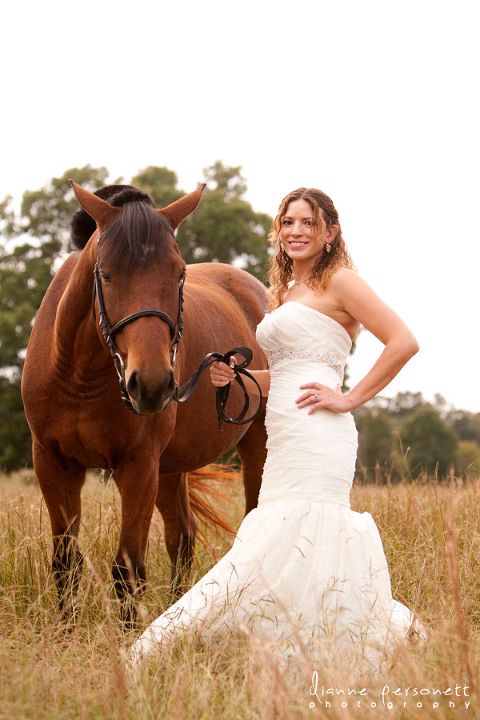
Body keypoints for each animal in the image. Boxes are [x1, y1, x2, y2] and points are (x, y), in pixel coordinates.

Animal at [21, 181, 268, 621]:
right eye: (105, 274)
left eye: (179, 273)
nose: (152, 385)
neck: (80, 377)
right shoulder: (52, 463)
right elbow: (66, 562)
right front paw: (66, 629)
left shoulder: (138, 466)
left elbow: (127, 568)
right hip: (171, 468)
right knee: (181, 537)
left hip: (253, 446)